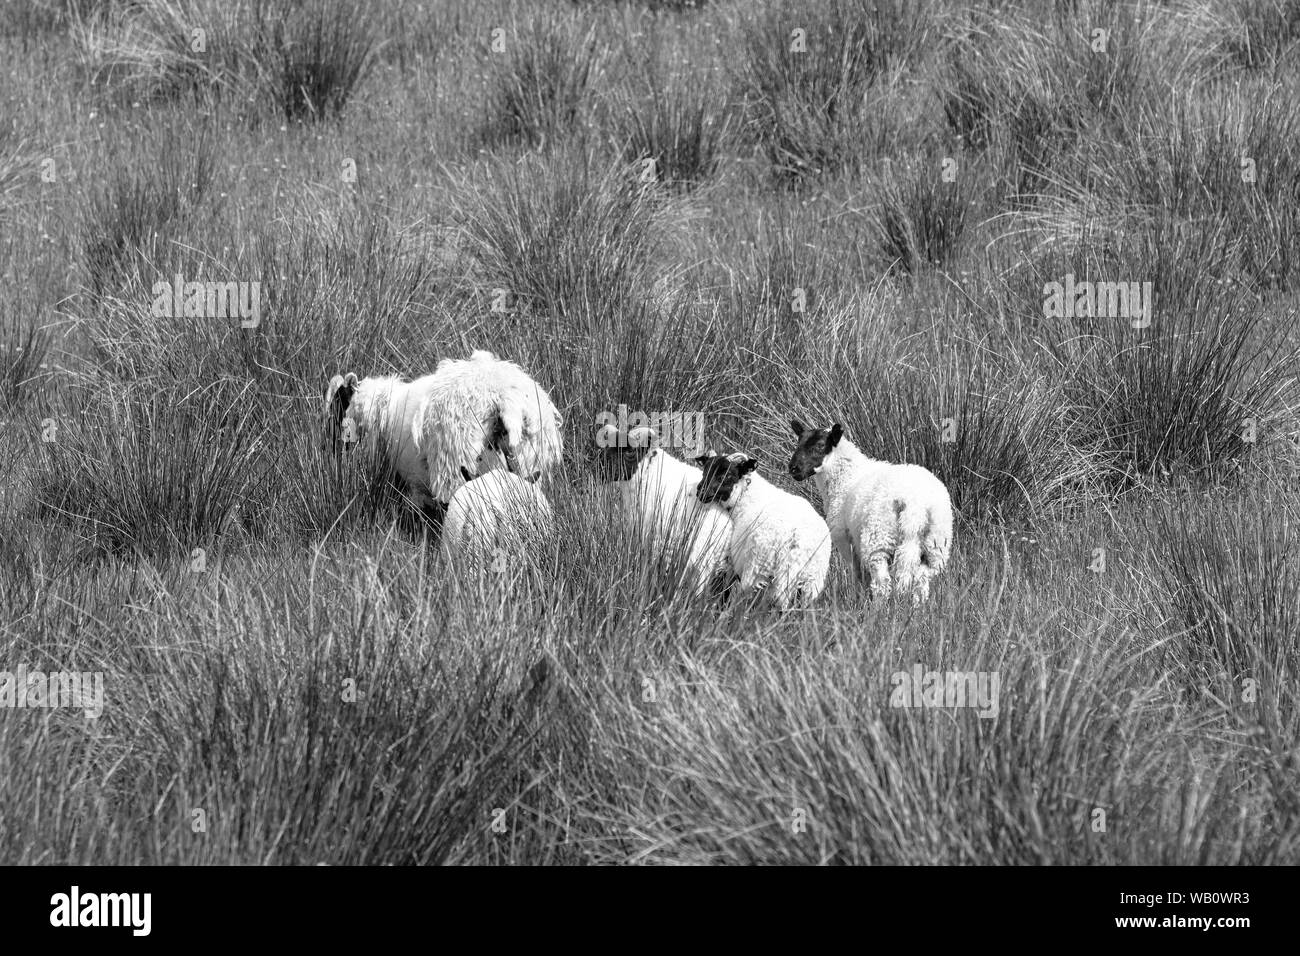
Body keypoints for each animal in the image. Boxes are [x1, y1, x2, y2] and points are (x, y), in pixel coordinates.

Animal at [322, 351, 561, 515]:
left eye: (337, 407)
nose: (330, 452)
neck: (382, 410)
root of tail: (501, 396)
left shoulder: (415, 482)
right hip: (527, 457)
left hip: (455, 461)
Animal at [691, 452, 832, 608]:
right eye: (705, 471)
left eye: (727, 475)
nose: (701, 492)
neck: (746, 496)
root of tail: (800, 542)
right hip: (811, 582)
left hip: (760, 567)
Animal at [780, 421, 956, 606]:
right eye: (798, 442)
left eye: (820, 445)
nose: (793, 468)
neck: (845, 477)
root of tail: (917, 505)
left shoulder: (846, 540)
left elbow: (858, 575)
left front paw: (859, 600)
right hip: (936, 545)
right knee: (922, 578)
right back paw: (916, 607)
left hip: (879, 539)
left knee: (883, 582)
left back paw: (879, 608)